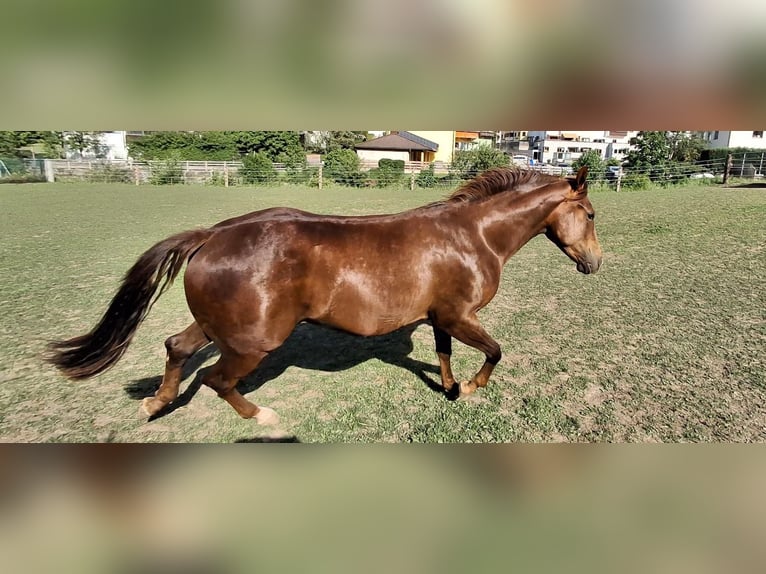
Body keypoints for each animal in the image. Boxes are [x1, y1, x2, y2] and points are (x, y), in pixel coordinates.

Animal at [46, 166, 602, 425]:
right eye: (592, 214)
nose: (594, 264)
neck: (473, 237)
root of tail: (212, 235)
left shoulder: (442, 315)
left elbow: (444, 354)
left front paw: (448, 388)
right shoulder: (460, 315)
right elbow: (494, 352)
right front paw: (469, 389)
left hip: (216, 326)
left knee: (177, 349)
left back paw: (154, 405)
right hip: (254, 343)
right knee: (215, 379)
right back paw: (264, 419)